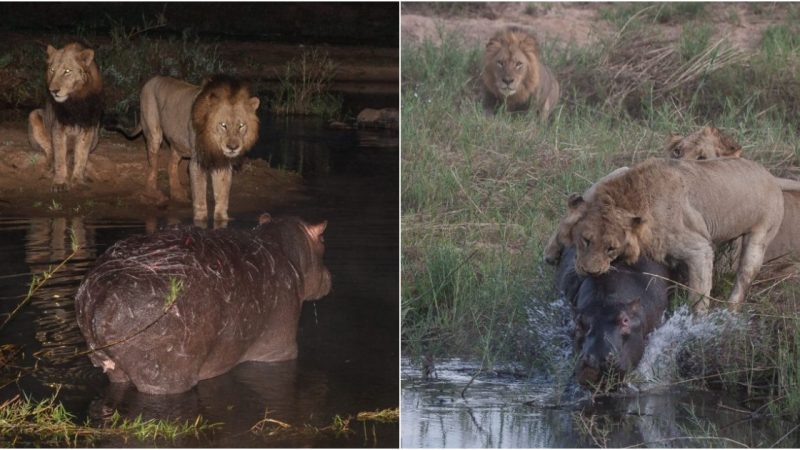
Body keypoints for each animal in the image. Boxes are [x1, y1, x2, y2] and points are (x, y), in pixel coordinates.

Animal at [28, 41, 104, 191]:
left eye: (67, 71)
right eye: (52, 70)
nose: (53, 91)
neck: (75, 100)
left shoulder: (88, 127)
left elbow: (82, 156)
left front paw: (78, 180)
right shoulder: (58, 127)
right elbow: (59, 157)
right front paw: (60, 182)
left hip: (96, 135)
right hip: (34, 115)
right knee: (50, 150)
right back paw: (50, 167)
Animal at [75, 214, 332, 394]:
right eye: (323, 240)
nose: (330, 276)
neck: (285, 251)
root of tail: (99, 296)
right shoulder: (279, 349)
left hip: (113, 367)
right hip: (164, 377)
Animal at [564, 157, 784, 312]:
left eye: (611, 248)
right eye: (586, 240)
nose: (591, 272)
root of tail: (770, 175)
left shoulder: (699, 249)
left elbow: (698, 298)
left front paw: (693, 328)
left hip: (759, 237)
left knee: (744, 276)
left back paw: (730, 313)